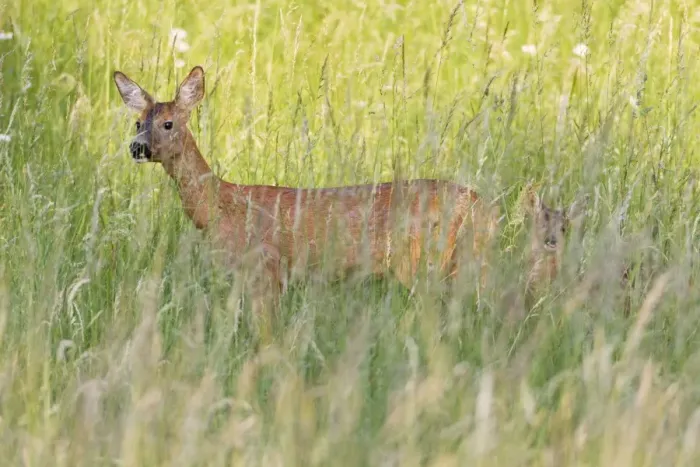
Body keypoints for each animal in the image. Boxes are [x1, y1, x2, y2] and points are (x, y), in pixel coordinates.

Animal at [113, 65, 500, 323]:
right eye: (137, 122)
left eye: (168, 124)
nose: (137, 147)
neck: (220, 207)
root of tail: (483, 207)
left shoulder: (267, 265)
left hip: (424, 261)